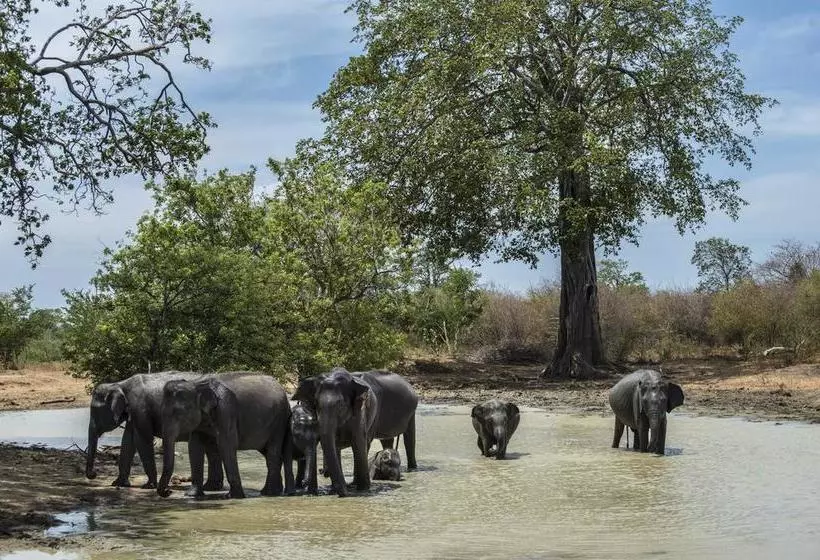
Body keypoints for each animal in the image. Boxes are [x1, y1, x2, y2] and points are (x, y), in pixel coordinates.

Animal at [86, 371, 224, 490]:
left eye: (94, 410)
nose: (93, 474)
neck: (119, 384)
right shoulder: (134, 414)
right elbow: (128, 442)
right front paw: (118, 483)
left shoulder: (140, 410)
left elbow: (142, 440)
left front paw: (148, 485)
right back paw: (213, 487)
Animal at [157, 372, 293, 499]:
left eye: (178, 413)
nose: (168, 492)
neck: (197, 385)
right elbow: (194, 447)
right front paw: (192, 495)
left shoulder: (226, 409)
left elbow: (226, 445)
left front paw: (233, 496)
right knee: (269, 453)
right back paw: (273, 491)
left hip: (279, 421)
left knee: (272, 452)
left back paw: (269, 493)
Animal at [292, 367, 418, 497]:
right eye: (316, 404)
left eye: (340, 405)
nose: (304, 482)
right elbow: (334, 444)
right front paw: (333, 489)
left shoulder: (360, 411)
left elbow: (358, 442)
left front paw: (363, 489)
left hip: (401, 412)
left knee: (408, 439)